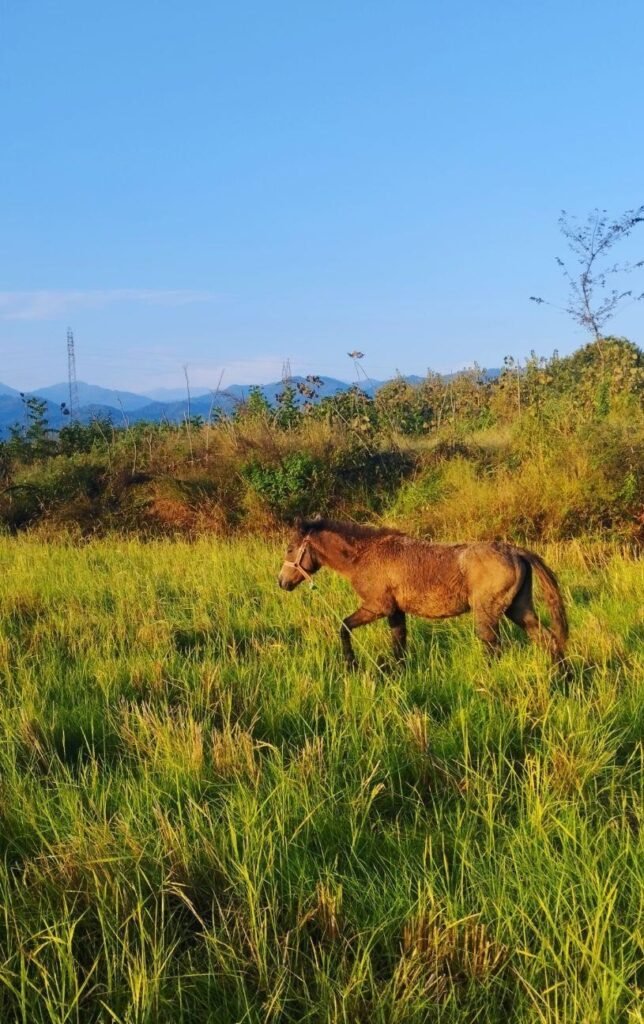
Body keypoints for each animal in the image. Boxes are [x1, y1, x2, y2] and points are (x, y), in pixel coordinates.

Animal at [276, 516, 569, 667]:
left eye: (290, 548)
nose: (281, 582)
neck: (364, 556)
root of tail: (515, 551)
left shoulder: (377, 607)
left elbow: (344, 627)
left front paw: (351, 663)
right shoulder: (395, 611)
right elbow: (398, 644)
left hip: (488, 615)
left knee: (494, 649)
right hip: (519, 610)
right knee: (549, 640)